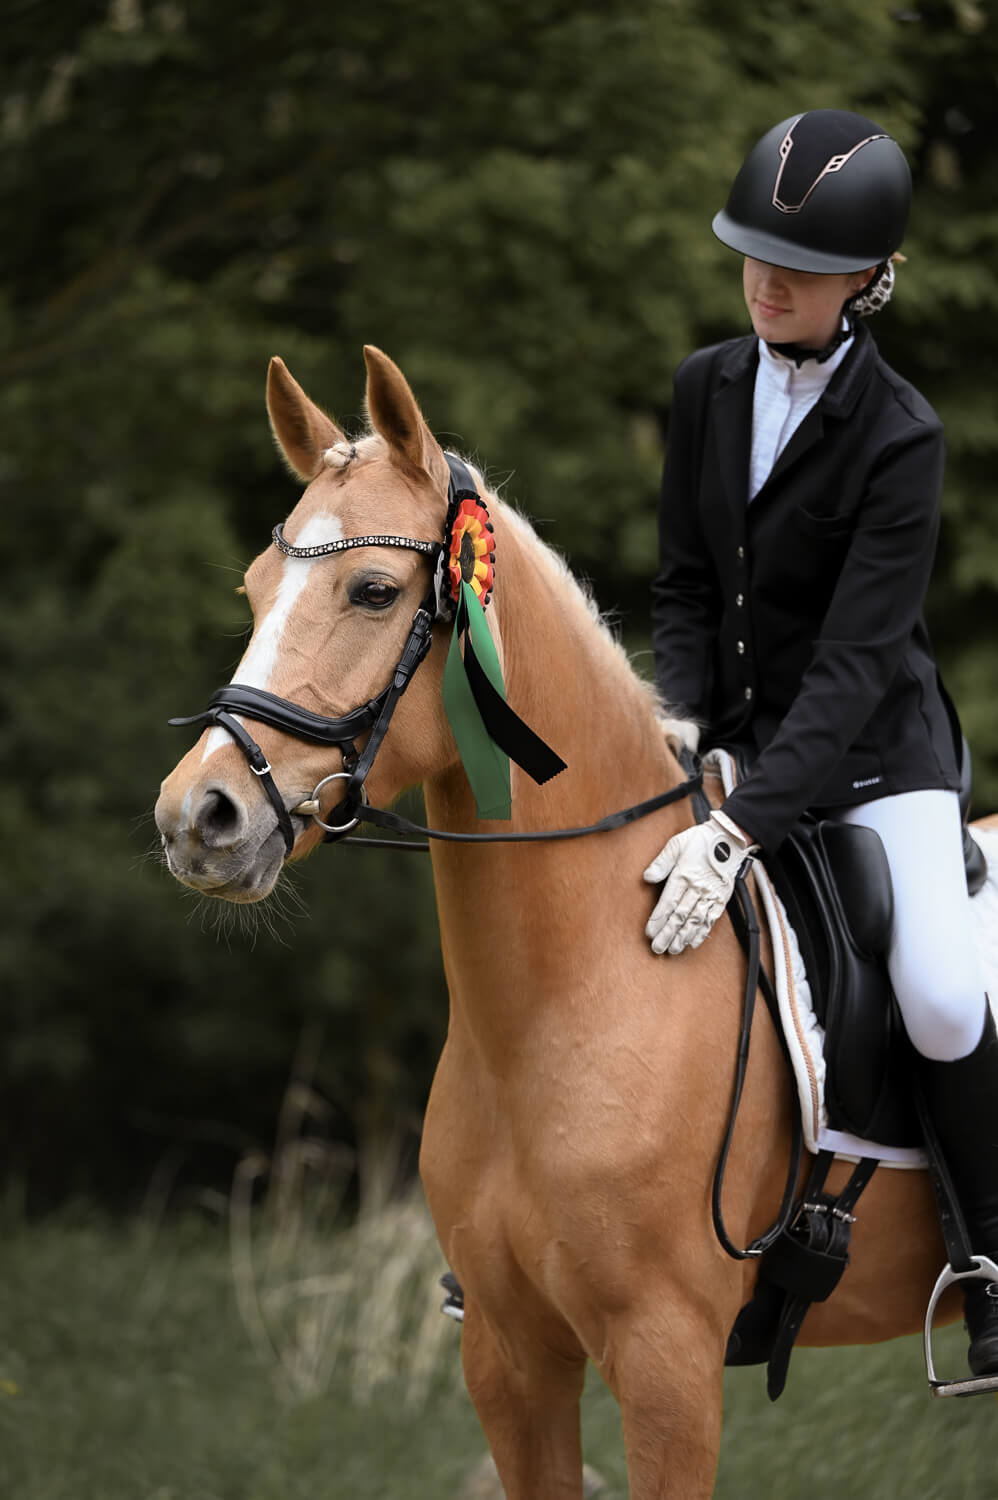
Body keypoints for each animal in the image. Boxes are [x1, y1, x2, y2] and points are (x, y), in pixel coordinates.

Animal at [155, 346, 986, 1498]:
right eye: (253, 590)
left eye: (373, 591)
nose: (200, 817)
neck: (567, 1003)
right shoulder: (508, 1356)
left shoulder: (666, 1360)